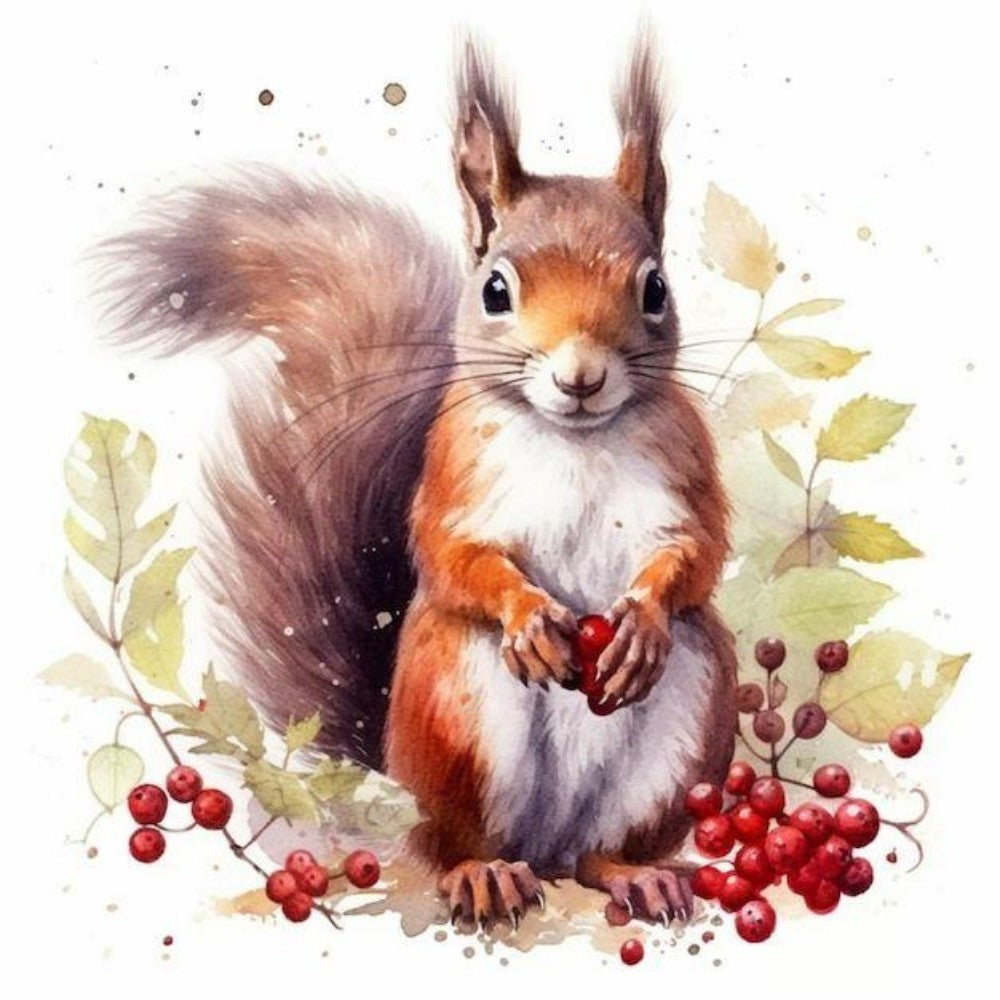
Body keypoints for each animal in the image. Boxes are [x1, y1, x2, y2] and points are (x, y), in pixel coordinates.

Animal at [99, 35, 737, 928]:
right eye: (496, 288)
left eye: (655, 288)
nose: (579, 376)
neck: (575, 440)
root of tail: (544, 844)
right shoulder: (452, 476)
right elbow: (448, 554)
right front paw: (527, 614)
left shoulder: (686, 469)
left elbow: (698, 552)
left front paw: (642, 620)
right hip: (457, 712)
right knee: (449, 843)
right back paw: (482, 874)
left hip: (691, 713)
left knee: (600, 849)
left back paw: (634, 873)